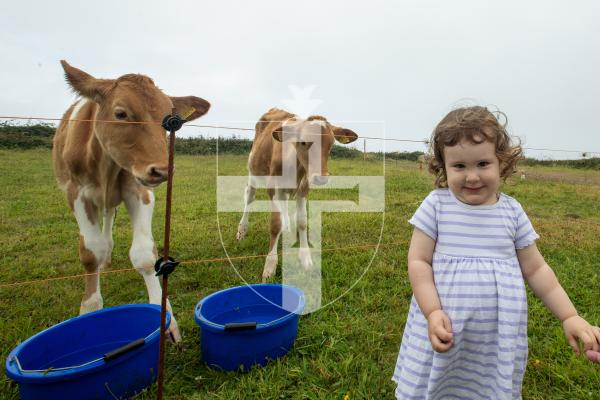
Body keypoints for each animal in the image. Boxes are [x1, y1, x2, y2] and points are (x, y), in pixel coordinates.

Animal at [52, 61, 211, 342]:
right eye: (121, 113)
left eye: (172, 122)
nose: (163, 170)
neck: (105, 166)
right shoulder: (76, 192)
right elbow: (90, 251)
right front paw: (89, 309)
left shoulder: (139, 190)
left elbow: (144, 254)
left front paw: (167, 321)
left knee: (109, 217)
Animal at [234, 107, 356, 282]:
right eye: (303, 142)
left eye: (331, 144)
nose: (321, 177)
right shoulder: (272, 185)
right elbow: (275, 223)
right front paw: (270, 266)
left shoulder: (304, 186)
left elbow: (302, 221)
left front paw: (306, 259)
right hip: (253, 168)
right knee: (250, 195)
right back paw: (242, 231)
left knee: (283, 202)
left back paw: (286, 227)